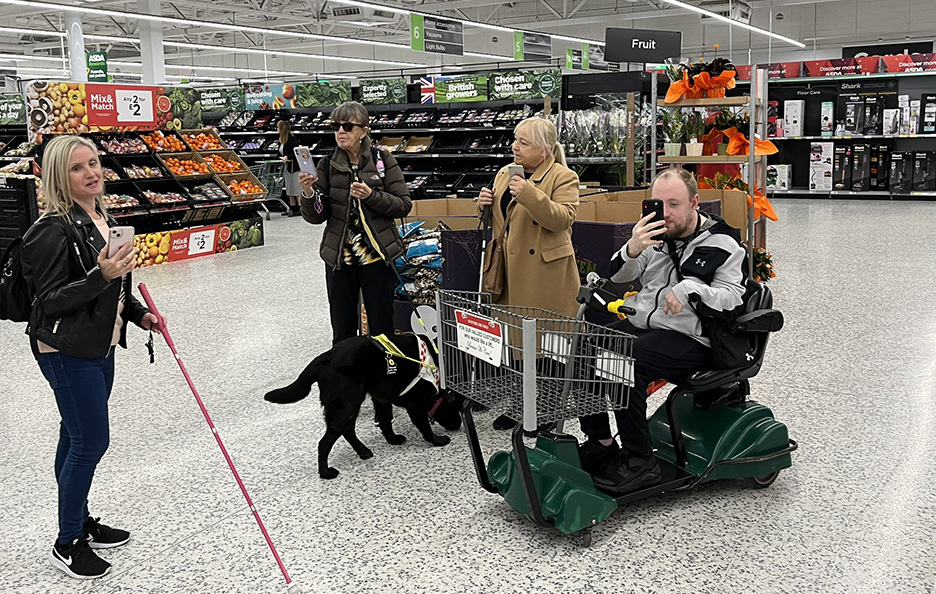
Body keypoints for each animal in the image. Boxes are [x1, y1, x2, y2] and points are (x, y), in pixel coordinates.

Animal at [264, 330, 460, 478]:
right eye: (454, 406)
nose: (458, 425)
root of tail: (325, 358)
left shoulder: (381, 399)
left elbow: (385, 421)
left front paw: (392, 439)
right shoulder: (415, 405)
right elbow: (425, 428)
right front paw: (437, 440)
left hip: (345, 406)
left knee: (347, 430)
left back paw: (362, 451)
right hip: (349, 405)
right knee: (326, 441)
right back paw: (325, 472)